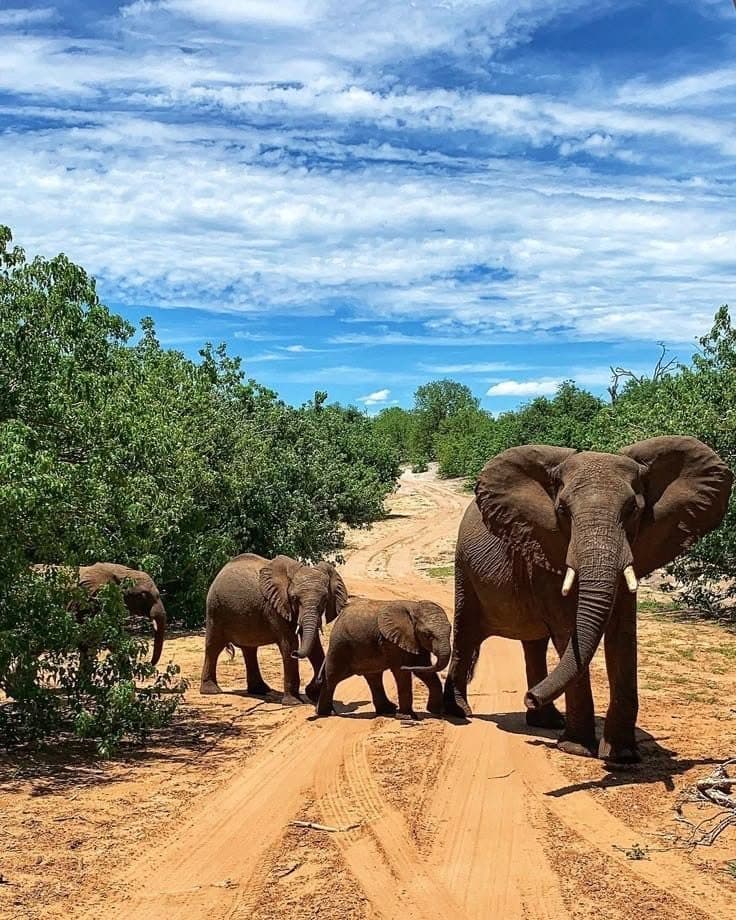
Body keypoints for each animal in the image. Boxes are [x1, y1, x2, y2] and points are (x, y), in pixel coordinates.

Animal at [200, 553, 348, 705]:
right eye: (294, 598)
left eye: (325, 599)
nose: (296, 654)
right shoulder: (275, 606)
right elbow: (289, 644)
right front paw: (293, 702)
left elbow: (315, 646)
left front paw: (314, 695)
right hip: (215, 610)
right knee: (213, 647)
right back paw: (211, 691)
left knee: (249, 650)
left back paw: (260, 690)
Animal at [316, 597, 451, 719]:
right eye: (428, 635)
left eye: (450, 631)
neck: (414, 606)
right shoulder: (393, 641)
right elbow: (401, 673)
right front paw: (408, 717)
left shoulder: (414, 640)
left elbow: (424, 670)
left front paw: (435, 711)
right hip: (339, 645)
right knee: (332, 677)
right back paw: (326, 713)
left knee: (373, 677)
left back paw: (387, 710)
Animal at [443, 436, 732, 764]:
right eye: (562, 510)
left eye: (632, 509)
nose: (529, 698)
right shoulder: (547, 548)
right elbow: (570, 632)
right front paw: (578, 749)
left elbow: (623, 635)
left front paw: (622, 756)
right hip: (464, 568)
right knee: (466, 632)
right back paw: (459, 712)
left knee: (534, 643)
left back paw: (546, 721)